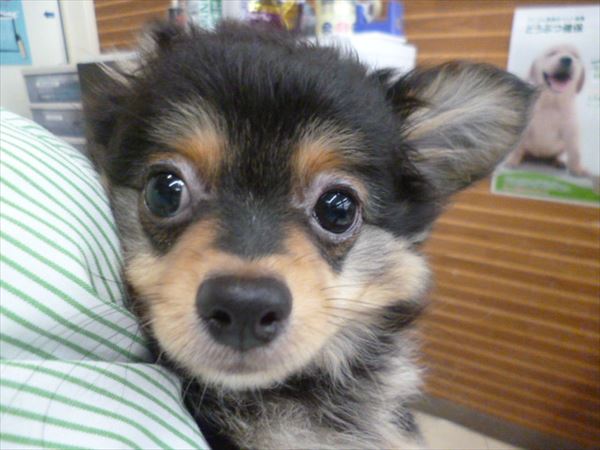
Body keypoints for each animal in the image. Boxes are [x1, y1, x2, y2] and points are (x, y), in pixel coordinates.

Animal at [506, 43, 586, 175]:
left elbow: (575, 152)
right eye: (552, 53)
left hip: (560, 147)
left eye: (575, 56)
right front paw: (511, 160)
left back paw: (557, 162)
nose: (567, 59)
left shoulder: (571, 130)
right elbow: (517, 147)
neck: (551, 101)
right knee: (523, 150)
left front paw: (577, 169)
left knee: (554, 156)